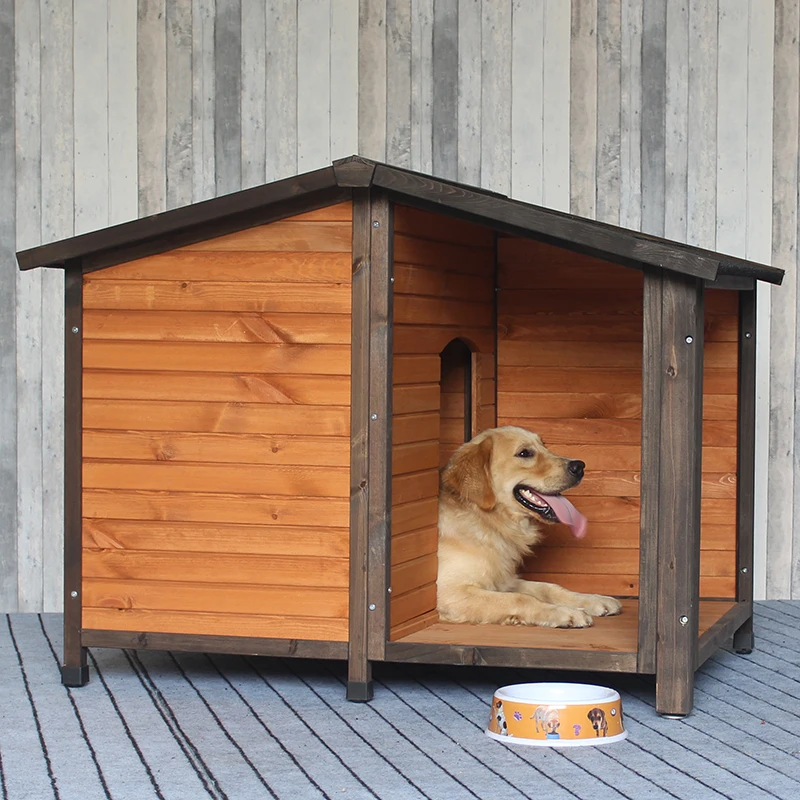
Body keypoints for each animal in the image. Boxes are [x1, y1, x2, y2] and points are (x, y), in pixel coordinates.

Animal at [438, 428, 620, 628]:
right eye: (524, 453)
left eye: (544, 445)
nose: (579, 466)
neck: (487, 521)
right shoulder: (451, 592)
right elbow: (520, 598)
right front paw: (565, 612)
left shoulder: (506, 580)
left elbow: (550, 588)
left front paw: (593, 600)